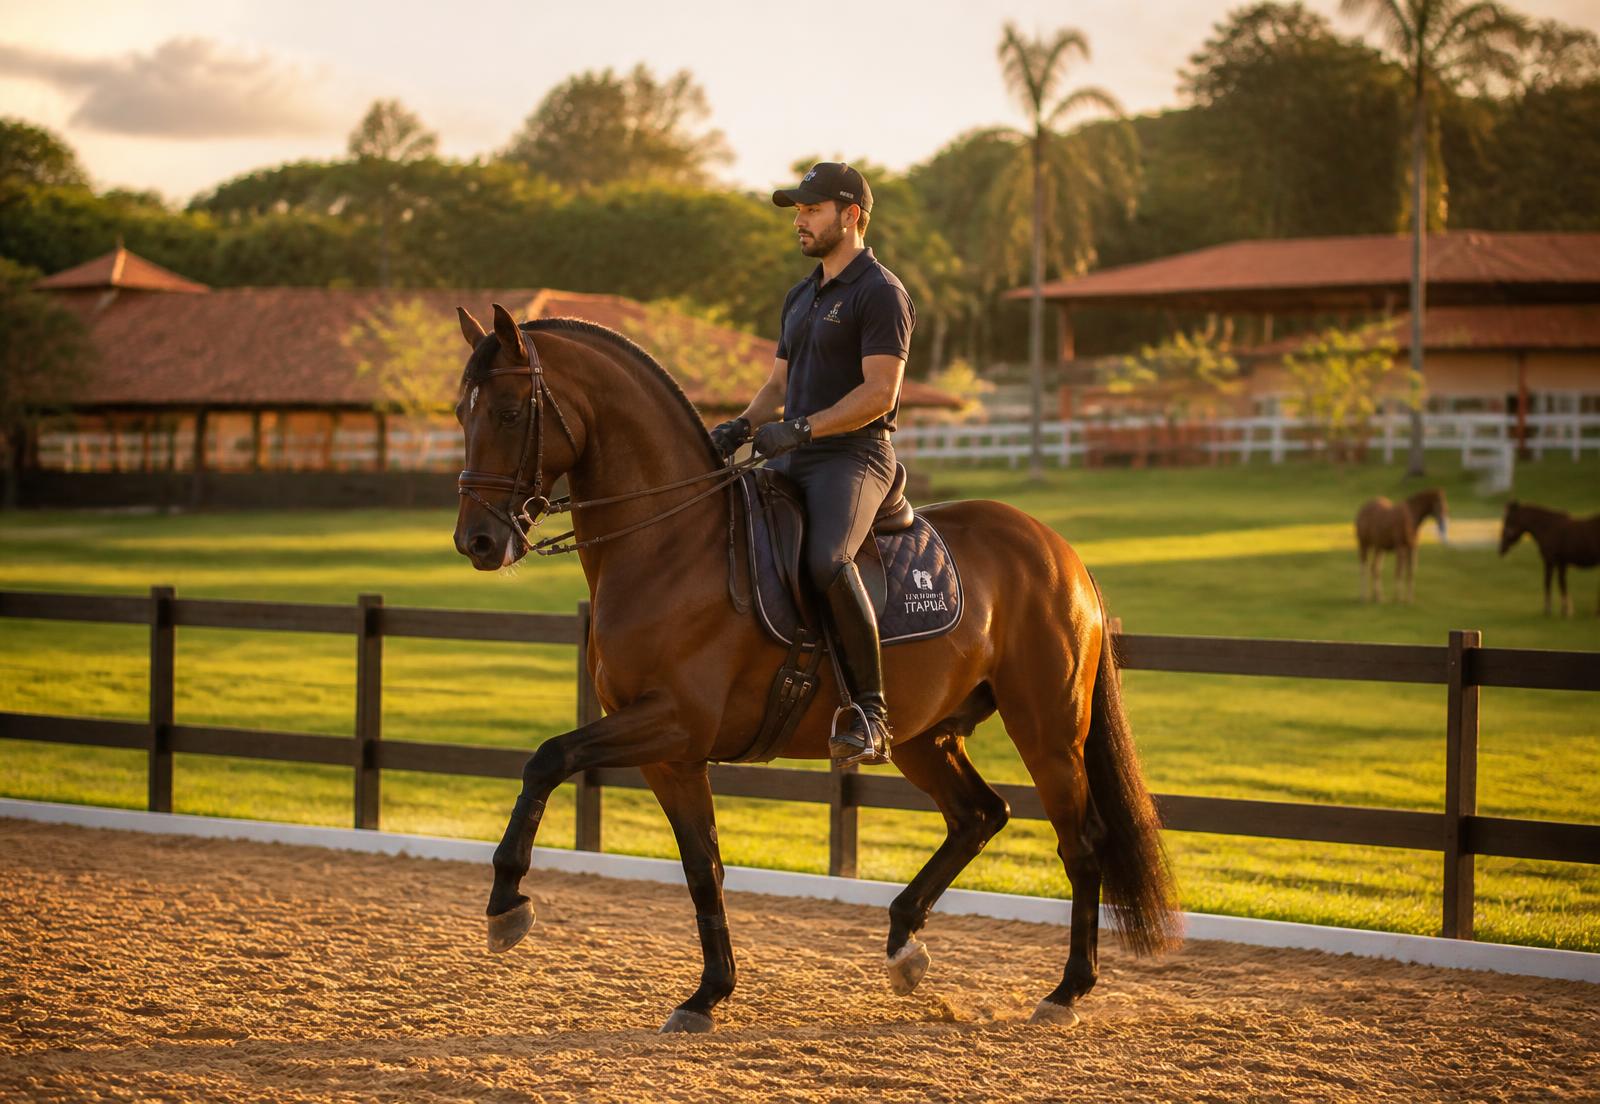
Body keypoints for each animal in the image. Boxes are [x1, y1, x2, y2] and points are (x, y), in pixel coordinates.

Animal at [450, 304, 1179, 1034]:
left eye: (510, 412)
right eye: (461, 413)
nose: (477, 541)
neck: (672, 544)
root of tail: (1059, 552)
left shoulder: (674, 723)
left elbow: (547, 758)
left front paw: (506, 903)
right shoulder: (670, 754)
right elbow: (702, 866)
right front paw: (707, 994)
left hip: (1047, 731)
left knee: (1080, 843)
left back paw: (1066, 991)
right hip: (924, 736)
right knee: (978, 815)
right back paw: (904, 945)